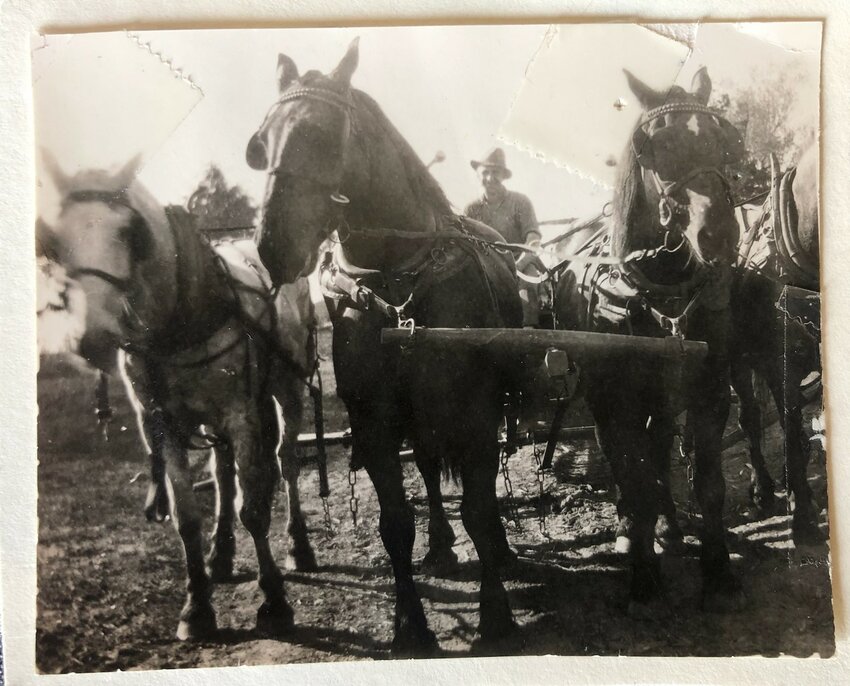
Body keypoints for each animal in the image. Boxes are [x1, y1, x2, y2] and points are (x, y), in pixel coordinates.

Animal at [36, 159, 318, 644]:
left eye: (132, 232)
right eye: (53, 238)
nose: (93, 337)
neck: (180, 320)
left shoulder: (241, 414)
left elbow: (254, 510)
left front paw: (274, 602)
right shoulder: (161, 423)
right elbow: (186, 517)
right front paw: (197, 607)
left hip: (288, 388)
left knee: (287, 463)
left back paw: (299, 545)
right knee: (223, 473)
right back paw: (220, 556)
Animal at [247, 41, 524, 656]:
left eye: (322, 134)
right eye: (262, 142)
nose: (272, 246)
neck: (398, 284)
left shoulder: (474, 414)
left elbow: (479, 506)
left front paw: (496, 616)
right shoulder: (374, 424)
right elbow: (395, 522)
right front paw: (411, 627)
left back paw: (498, 548)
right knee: (426, 467)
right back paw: (440, 546)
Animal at [548, 70, 744, 616]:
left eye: (724, 140)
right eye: (652, 148)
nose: (718, 235)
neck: (663, 292)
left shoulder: (710, 393)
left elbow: (708, 484)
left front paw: (718, 570)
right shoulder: (618, 403)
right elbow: (633, 482)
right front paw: (642, 575)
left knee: (657, 455)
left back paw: (669, 528)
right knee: (621, 463)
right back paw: (628, 531)